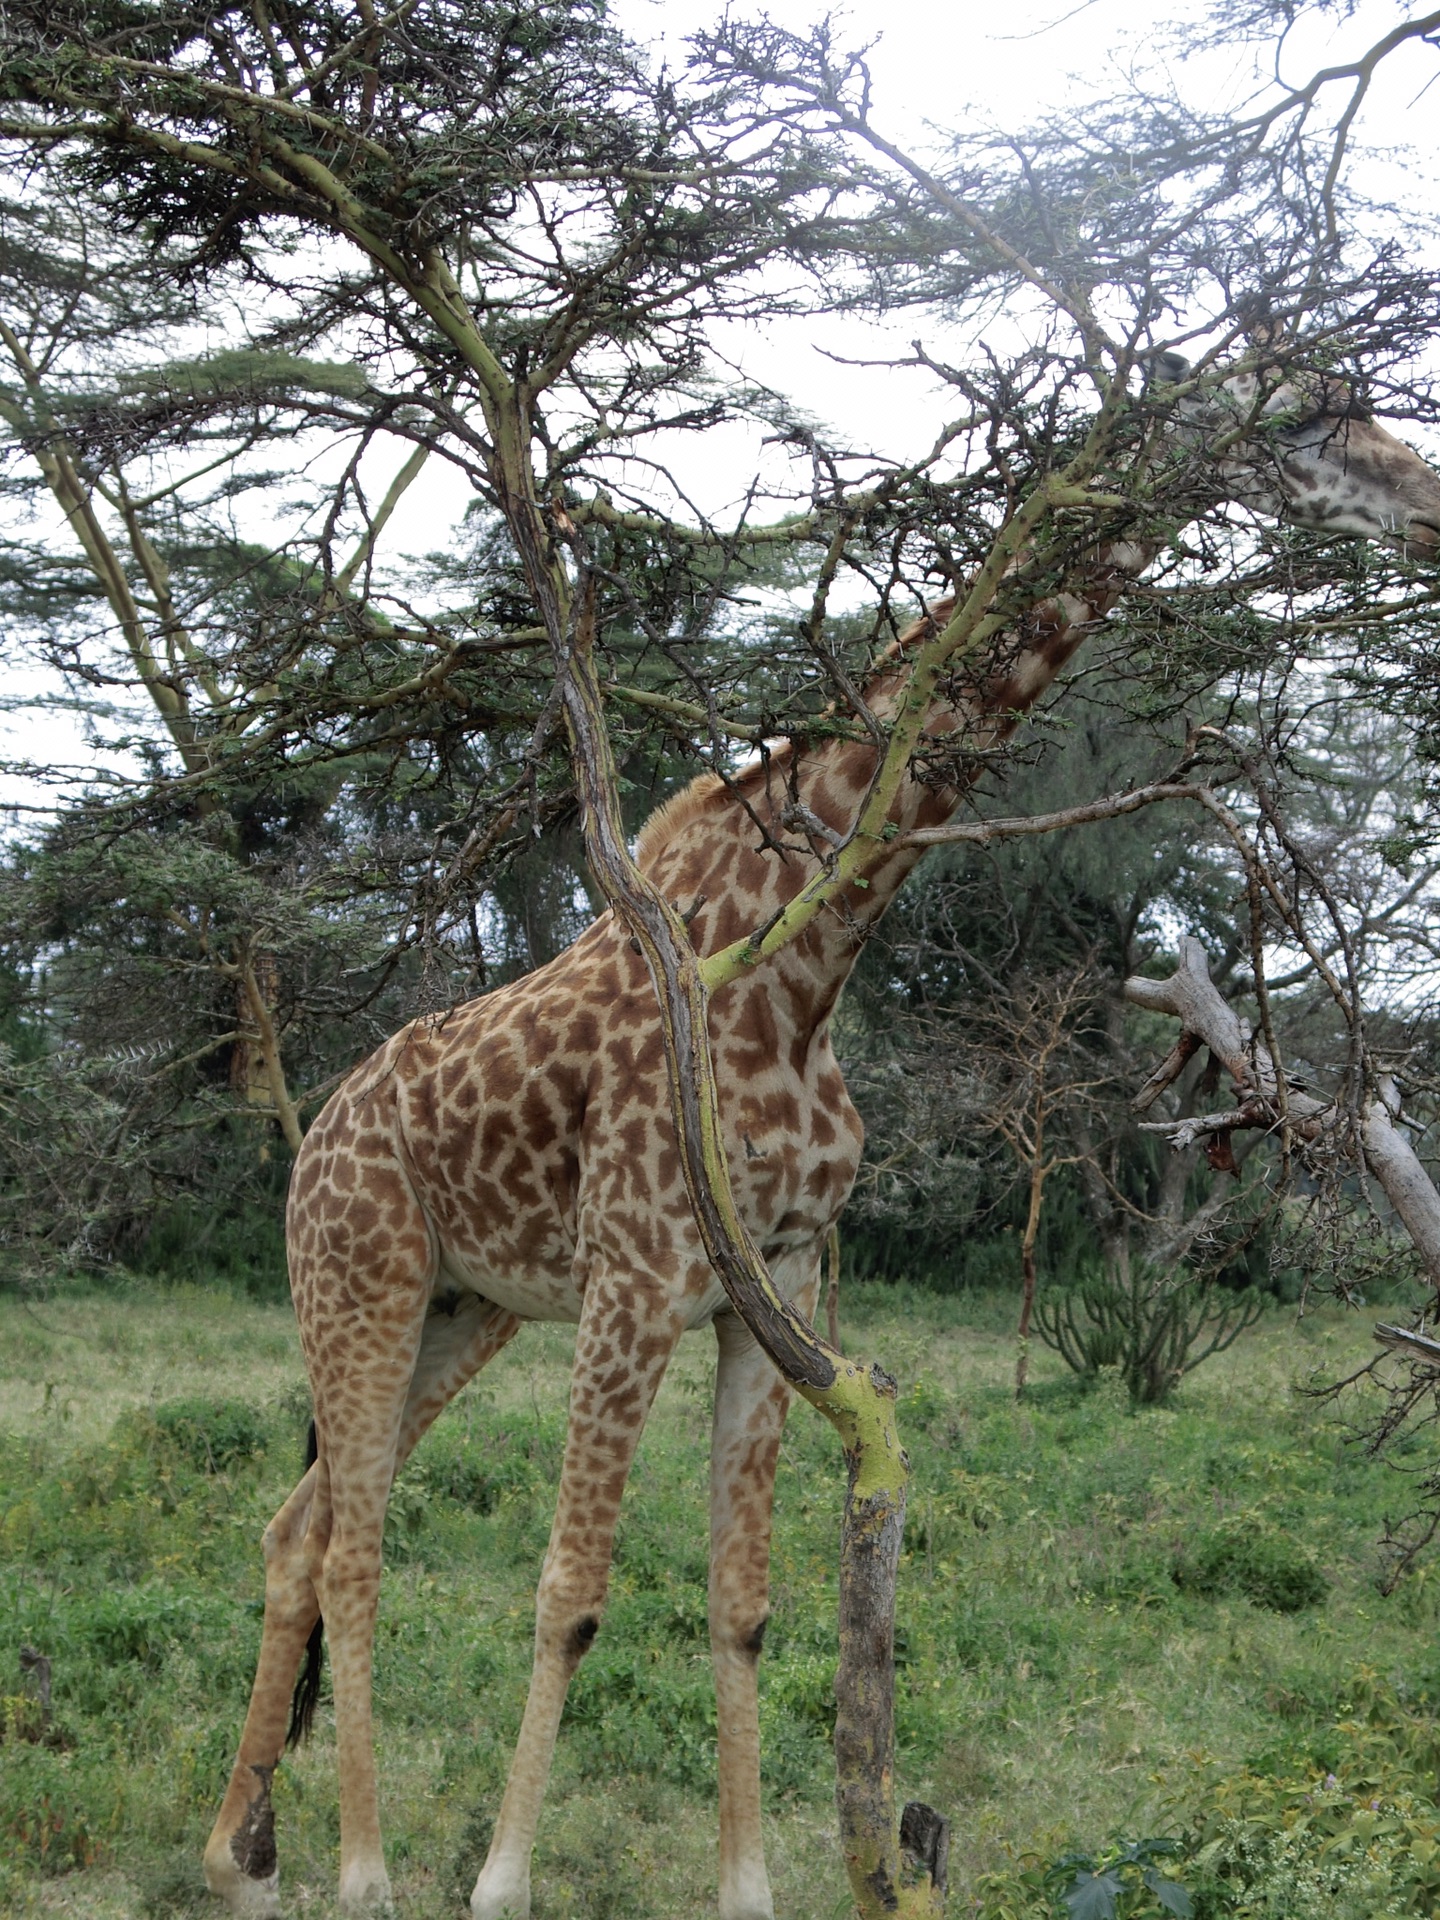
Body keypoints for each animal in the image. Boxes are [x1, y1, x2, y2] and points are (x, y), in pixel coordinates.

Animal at [200, 360, 1440, 1920]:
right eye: (1317, 415)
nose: (1431, 504)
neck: (805, 963)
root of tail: (315, 1140)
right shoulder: (634, 1284)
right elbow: (571, 1592)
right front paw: (499, 1884)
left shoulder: (767, 1285)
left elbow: (740, 1603)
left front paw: (748, 1886)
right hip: (359, 1281)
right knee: (357, 1546)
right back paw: (360, 1869)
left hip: (461, 1307)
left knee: (295, 1526)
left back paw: (240, 1851)